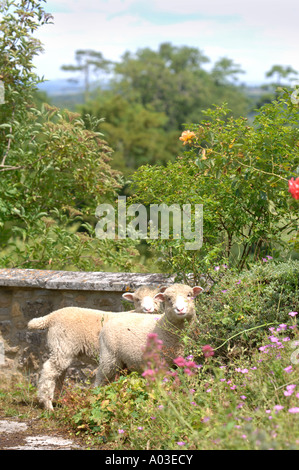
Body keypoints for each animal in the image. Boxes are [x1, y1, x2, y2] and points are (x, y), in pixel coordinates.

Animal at [27, 284, 164, 410]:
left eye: (156, 298)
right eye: (137, 299)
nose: (148, 309)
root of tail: (51, 316)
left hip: (62, 348)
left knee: (59, 372)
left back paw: (57, 401)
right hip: (62, 344)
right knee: (49, 371)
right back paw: (48, 404)